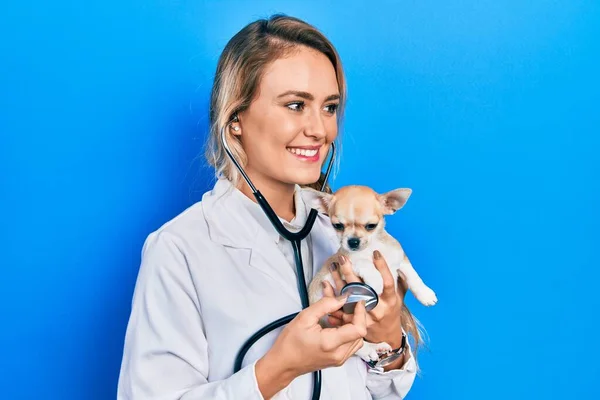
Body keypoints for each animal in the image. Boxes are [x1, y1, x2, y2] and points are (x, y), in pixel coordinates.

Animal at [304, 184, 436, 362]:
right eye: (338, 225)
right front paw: (377, 280)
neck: (372, 247)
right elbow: (363, 263)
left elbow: (413, 275)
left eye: (371, 226)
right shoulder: (347, 261)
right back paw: (369, 350)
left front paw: (425, 294)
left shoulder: (400, 258)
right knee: (354, 343)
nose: (353, 241)